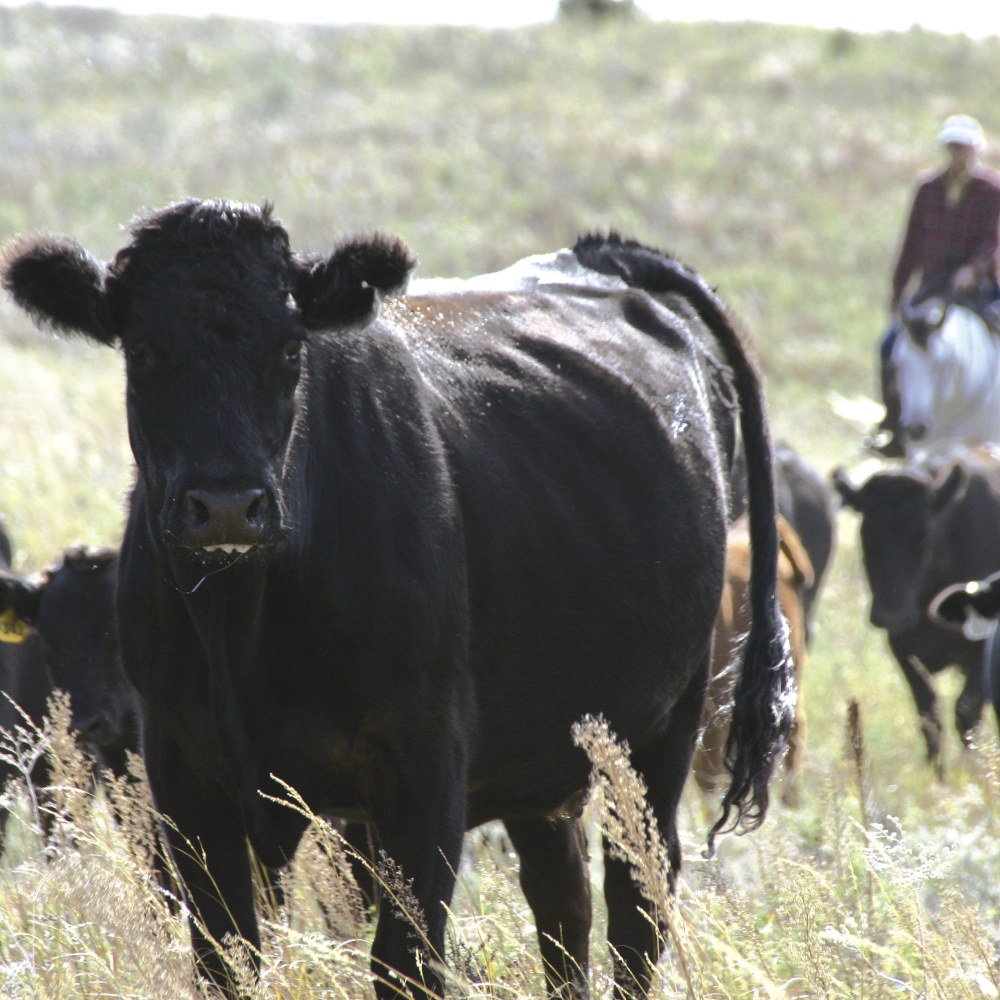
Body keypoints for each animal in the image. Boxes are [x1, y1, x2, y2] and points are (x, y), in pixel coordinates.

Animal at [1, 203, 796, 1000]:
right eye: (143, 351)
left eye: (290, 347)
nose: (226, 506)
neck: (242, 622)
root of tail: (598, 257)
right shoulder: (184, 772)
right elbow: (225, 957)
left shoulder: (425, 763)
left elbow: (405, 961)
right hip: (548, 745)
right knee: (562, 902)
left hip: (666, 722)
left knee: (638, 900)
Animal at [832, 456, 1000, 772]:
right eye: (866, 536)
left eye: (923, 537)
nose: (892, 615)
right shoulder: (904, 650)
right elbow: (929, 717)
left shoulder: (980, 652)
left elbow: (966, 713)